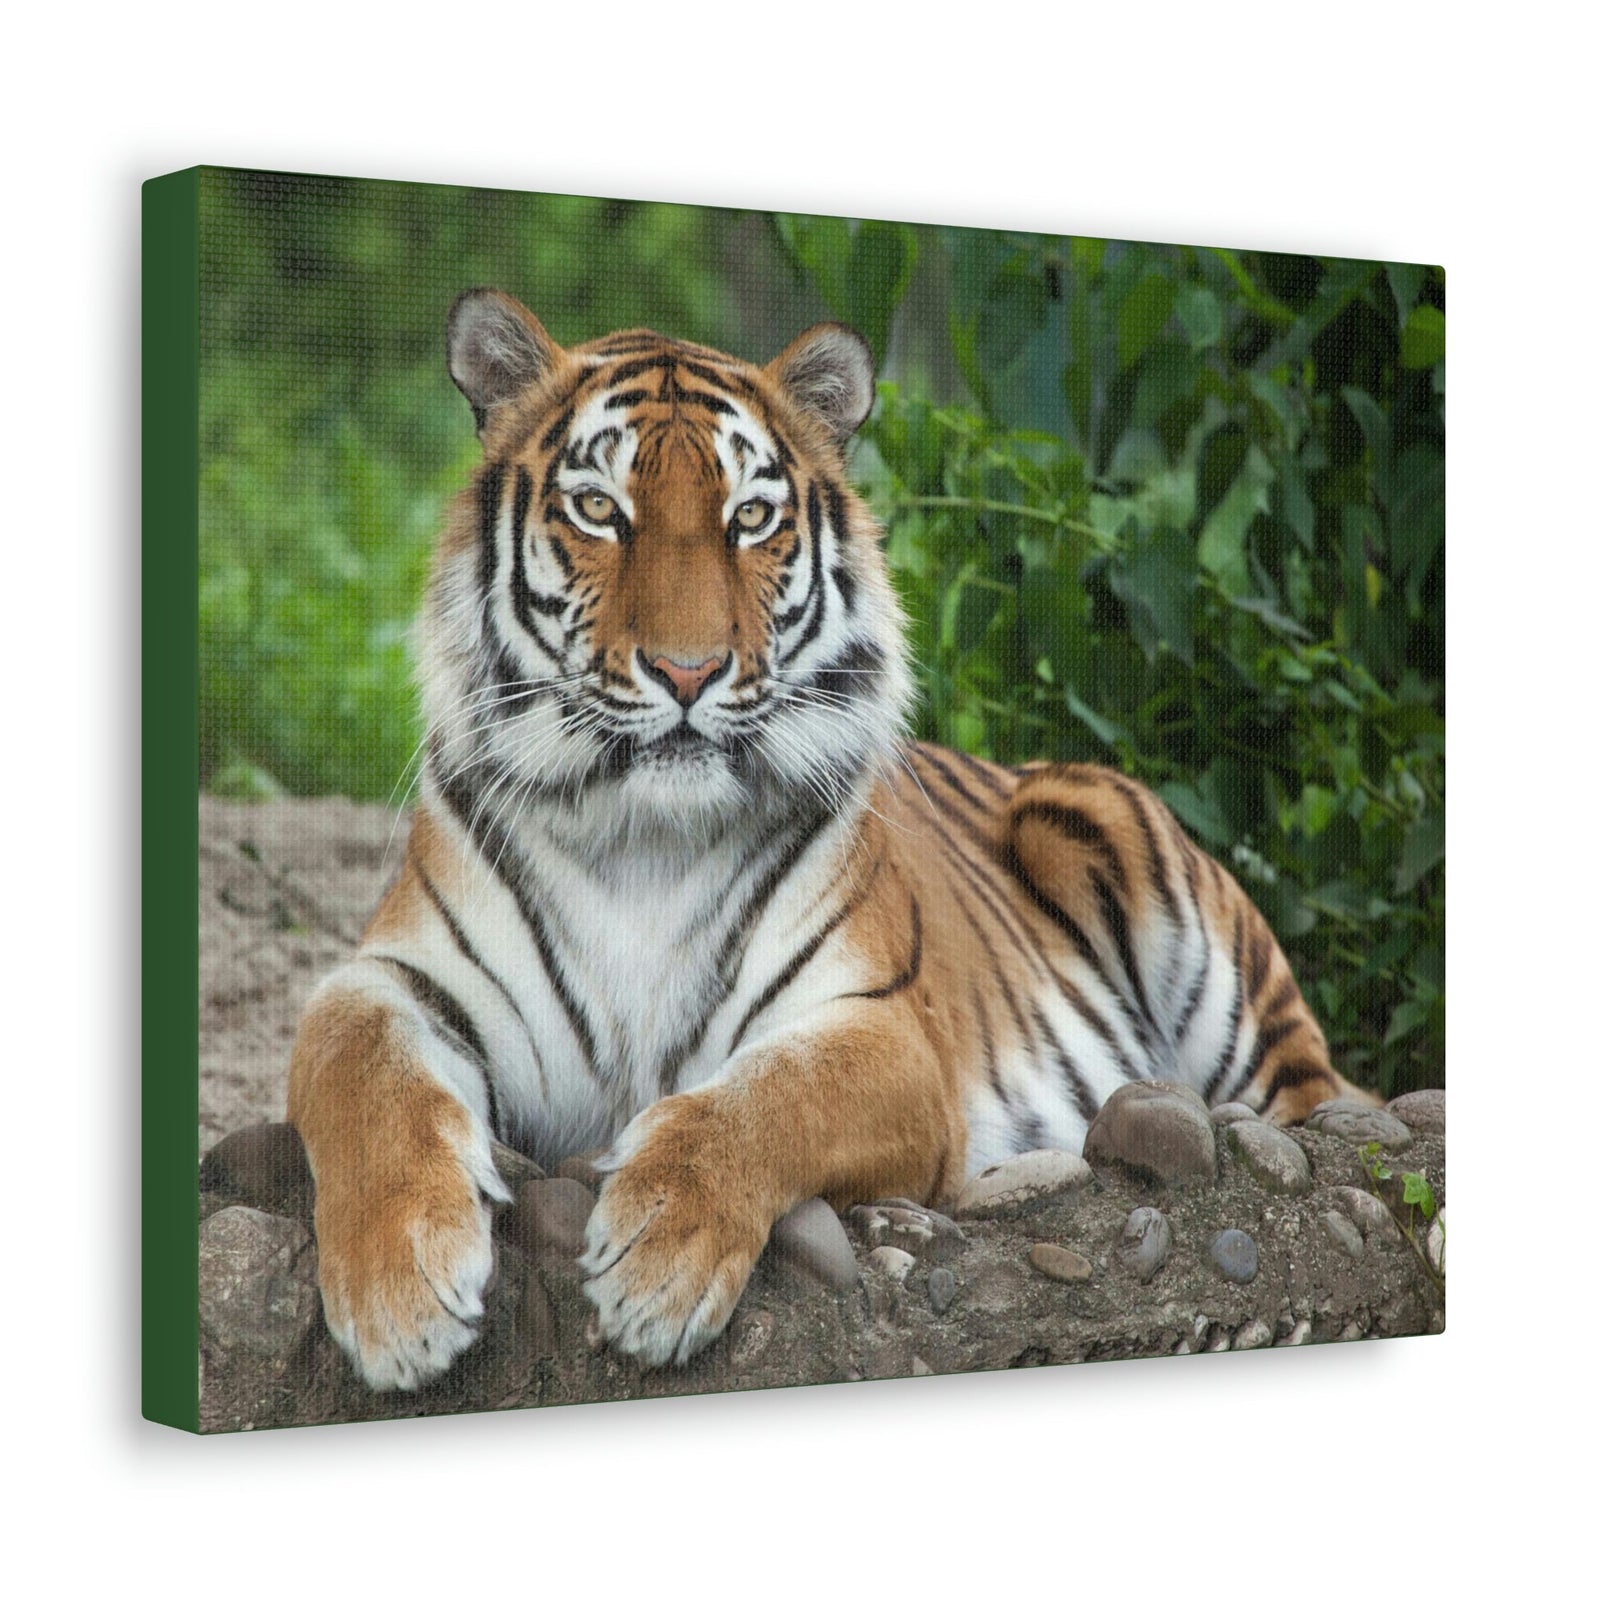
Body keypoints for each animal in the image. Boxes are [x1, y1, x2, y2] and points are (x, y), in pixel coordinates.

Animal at [286, 289, 1372, 1390]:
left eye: (750, 517)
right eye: (598, 509)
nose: (688, 671)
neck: (643, 838)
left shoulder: (882, 1031)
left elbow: (763, 1101)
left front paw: (659, 1260)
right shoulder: (392, 978)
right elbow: (361, 1073)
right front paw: (399, 1291)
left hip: (1136, 873)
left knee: (1320, 1099)